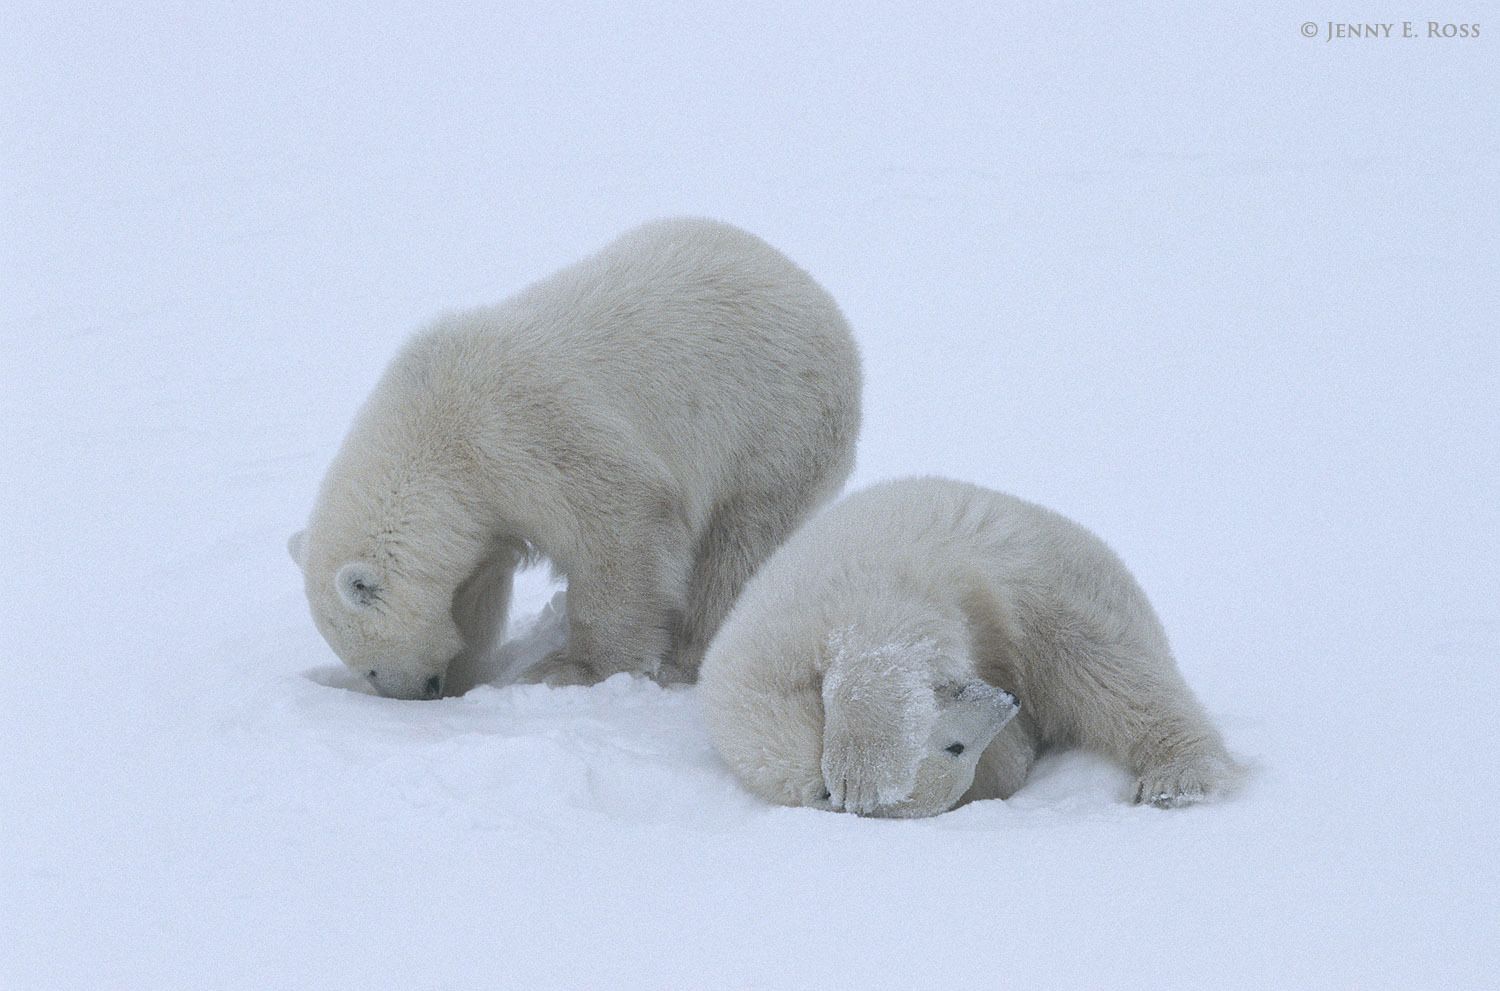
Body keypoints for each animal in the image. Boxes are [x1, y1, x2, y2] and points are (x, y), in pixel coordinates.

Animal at [288, 218, 861, 699]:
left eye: (371, 664)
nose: (414, 693)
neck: (432, 430)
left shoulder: (522, 434)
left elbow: (621, 523)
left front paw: (570, 669)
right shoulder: (483, 506)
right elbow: (476, 587)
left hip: (773, 424)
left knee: (738, 545)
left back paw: (690, 655)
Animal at [697, 476, 1239, 817]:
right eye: (957, 748)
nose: (1007, 699)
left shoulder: (856, 593)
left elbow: (879, 656)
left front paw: (862, 774)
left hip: (1051, 584)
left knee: (1112, 673)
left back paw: (1176, 778)